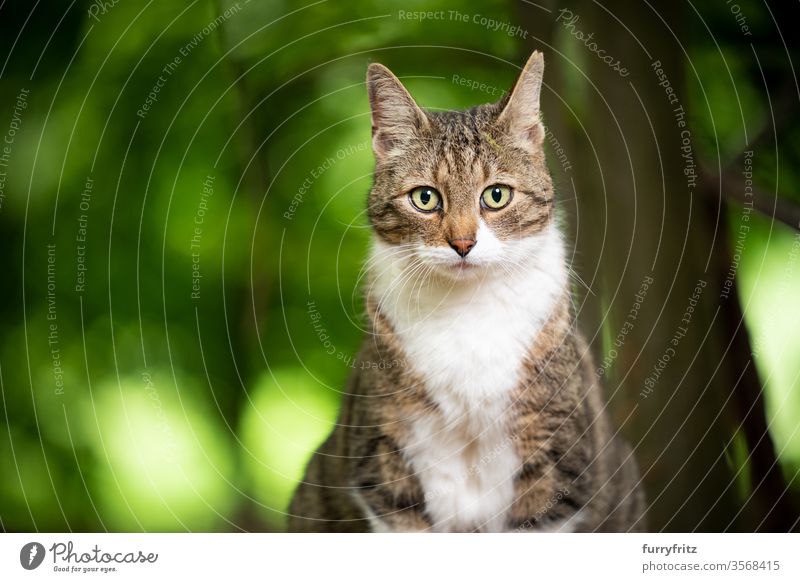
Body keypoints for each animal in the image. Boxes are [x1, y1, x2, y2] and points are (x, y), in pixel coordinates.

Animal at [286, 51, 644, 532]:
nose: (462, 243)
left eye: (496, 196)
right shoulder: (385, 468)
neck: (467, 311)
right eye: (424, 198)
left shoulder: (557, 466)